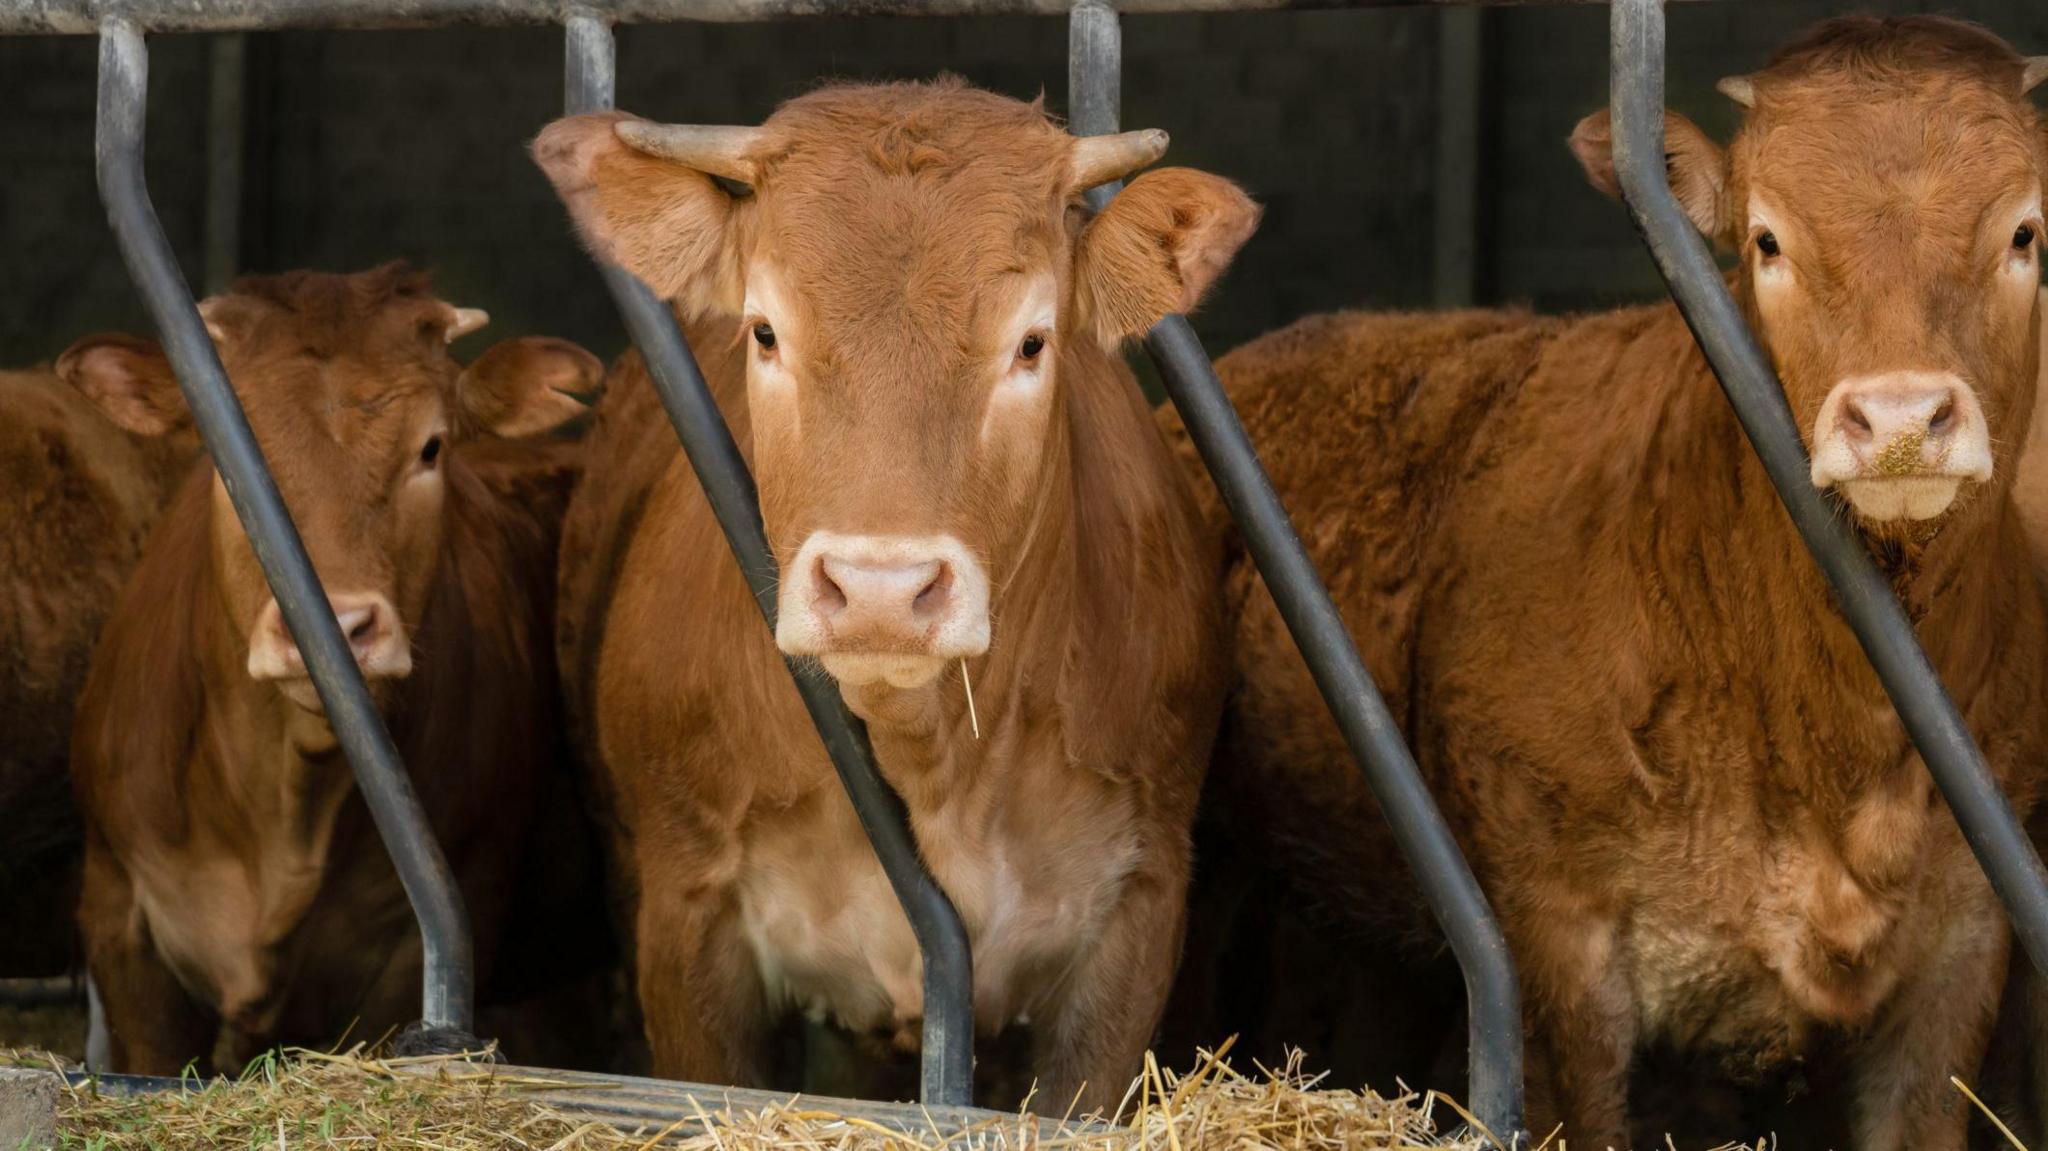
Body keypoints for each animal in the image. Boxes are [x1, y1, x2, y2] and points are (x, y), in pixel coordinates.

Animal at [533, 78, 1257, 1108]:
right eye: (765, 330)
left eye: (1031, 341)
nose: (880, 589)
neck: (932, 758)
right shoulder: (685, 910)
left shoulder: (1138, 909)